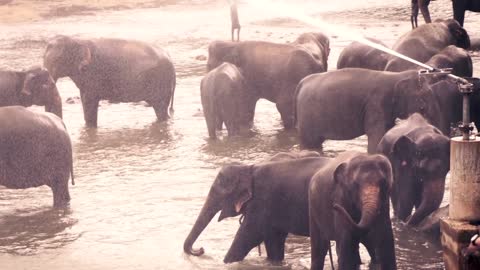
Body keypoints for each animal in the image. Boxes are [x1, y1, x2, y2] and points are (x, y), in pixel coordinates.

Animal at [44, 35, 175, 127]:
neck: (76, 39)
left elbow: (89, 101)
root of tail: (171, 61)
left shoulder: (93, 74)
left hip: (160, 82)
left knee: (161, 110)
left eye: (58, 59)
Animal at [182, 156, 332, 264]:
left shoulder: (263, 202)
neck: (249, 168)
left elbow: (248, 237)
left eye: (217, 193)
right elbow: (273, 241)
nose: (200, 249)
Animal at [294, 68, 440, 154]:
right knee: (311, 143)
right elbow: (376, 134)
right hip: (308, 117)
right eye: (423, 102)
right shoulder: (376, 103)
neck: (397, 75)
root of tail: (301, 83)